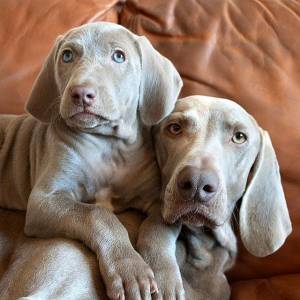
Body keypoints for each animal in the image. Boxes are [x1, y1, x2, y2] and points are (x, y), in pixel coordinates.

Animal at [0, 21, 185, 300]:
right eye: (67, 55)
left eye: (118, 56)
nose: (80, 93)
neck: (108, 144)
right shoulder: (44, 200)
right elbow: (98, 215)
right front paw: (130, 269)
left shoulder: (162, 203)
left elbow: (157, 230)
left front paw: (164, 278)